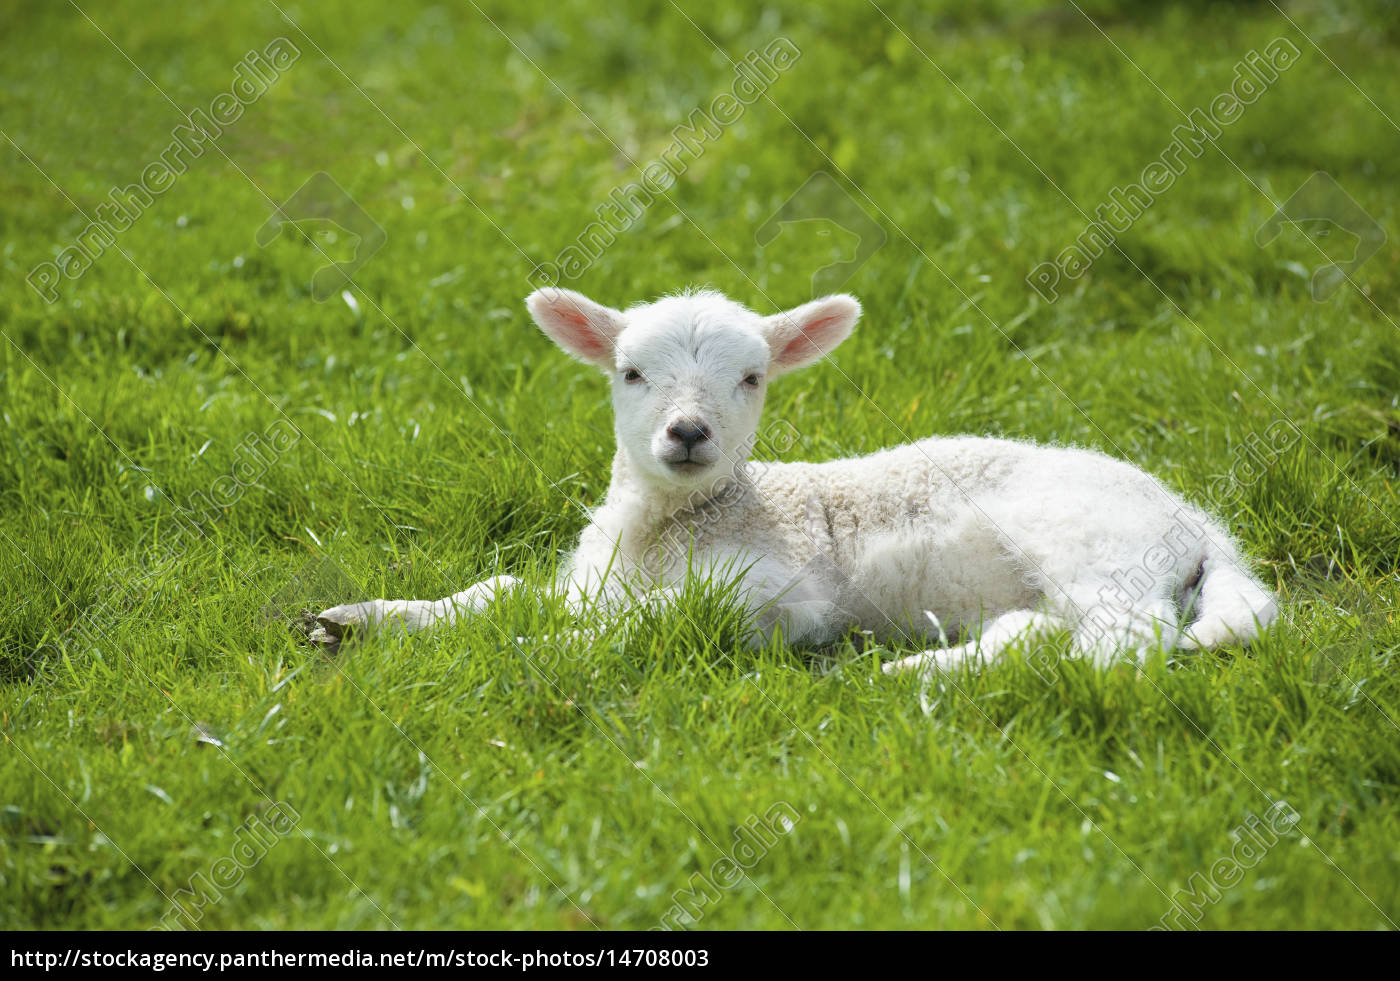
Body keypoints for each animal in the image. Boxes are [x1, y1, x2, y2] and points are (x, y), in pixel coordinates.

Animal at [317, 286, 1282, 677]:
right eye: (630, 372)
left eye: (752, 377)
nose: (688, 432)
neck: (665, 527)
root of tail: (1197, 520)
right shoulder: (586, 579)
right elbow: (495, 590)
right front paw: (364, 618)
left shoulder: (778, 595)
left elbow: (649, 624)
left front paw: (538, 653)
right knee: (1042, 632)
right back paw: (931, 667)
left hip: (1095, 545)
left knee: (1124, 640)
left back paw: (920, 679)